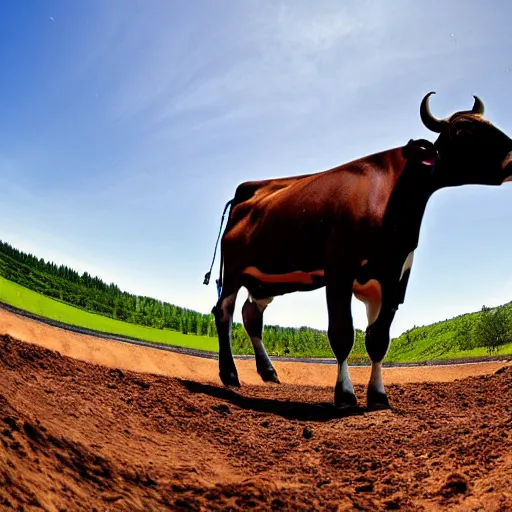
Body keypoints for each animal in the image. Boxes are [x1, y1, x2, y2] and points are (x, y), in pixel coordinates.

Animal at [203, 93, 512, 412]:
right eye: (462, 132)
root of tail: (246, 190)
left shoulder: (394, 279)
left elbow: (378, 340)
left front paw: (378, 396)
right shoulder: (340, 270)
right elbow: (342, 334)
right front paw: (345, 395)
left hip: (264, 281)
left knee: (251, 314)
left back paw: (268, 371)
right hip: (234, 270)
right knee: (224, 312)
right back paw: (229, 374)